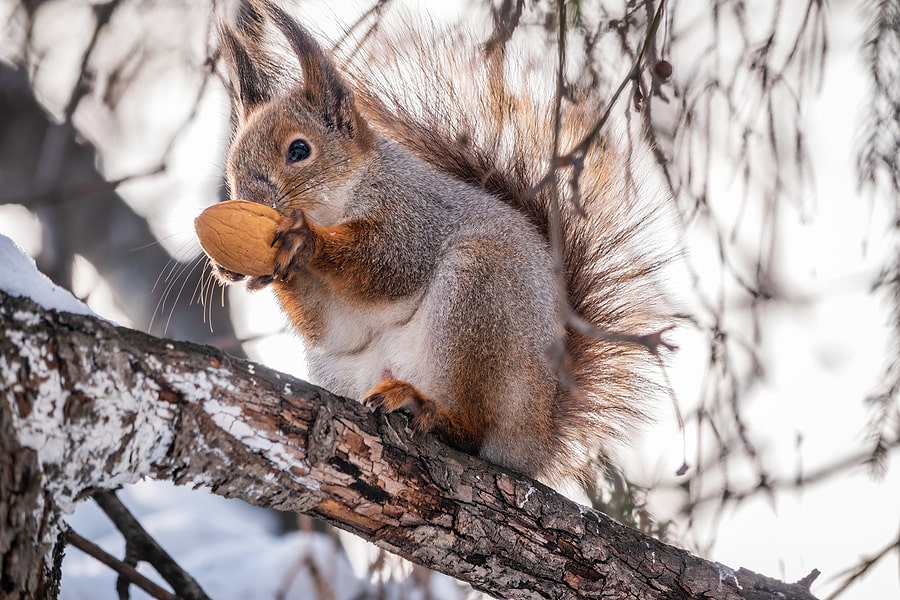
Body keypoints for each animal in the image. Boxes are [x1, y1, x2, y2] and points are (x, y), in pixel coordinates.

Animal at [212, 1, 673, 487]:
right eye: (232, 165)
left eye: (299, 150)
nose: (250, 202)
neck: (343, 200)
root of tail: (538, 441)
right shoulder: (337, 321)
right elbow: (332, 327)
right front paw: (247, 270)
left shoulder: (416, 218)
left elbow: (388, 265)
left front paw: (305, 240)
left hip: (479, 299)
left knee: (472, 432)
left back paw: (427, 409)